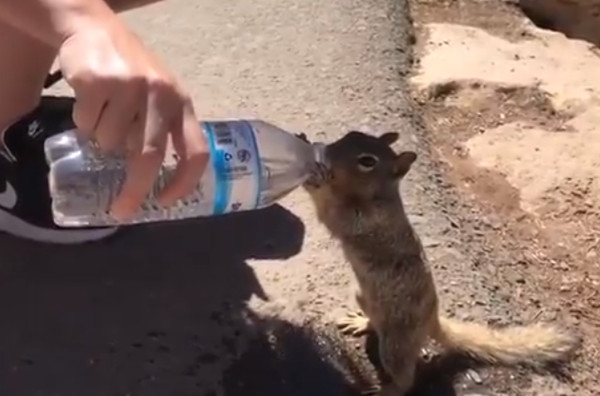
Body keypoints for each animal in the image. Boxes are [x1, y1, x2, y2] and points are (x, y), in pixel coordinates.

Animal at [302, 131, 584, 396]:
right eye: (351, 135)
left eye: (367, 161)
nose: (325, 152)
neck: (377, 195)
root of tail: (432, 320)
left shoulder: (363, 219)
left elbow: (331, 213)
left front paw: (313, 178)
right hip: (363, 297)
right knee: (376, 323)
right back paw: (362, 323)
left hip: (395, 344)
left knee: (405, 377)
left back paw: (387, 390)